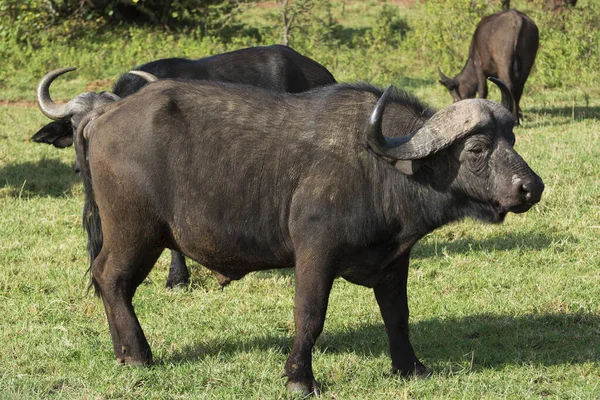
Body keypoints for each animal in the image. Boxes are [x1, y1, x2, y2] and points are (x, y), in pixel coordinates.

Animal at [71, 76, 544, 396]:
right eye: (477, 149)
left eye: (512, 138)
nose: (531, 187)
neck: (380, 167)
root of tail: (102, 115)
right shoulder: (316, 253)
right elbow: (310, 315)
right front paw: (300, 377)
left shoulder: (394, 261)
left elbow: (398, 315)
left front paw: (411, 367)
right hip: (135, 232)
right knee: (112, 278)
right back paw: (137, 354)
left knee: (108, 281)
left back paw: (122, 349)